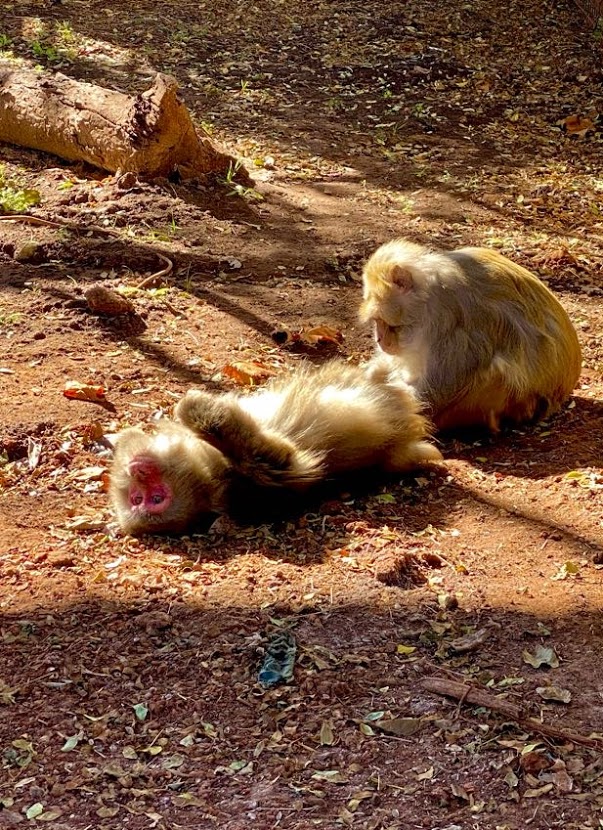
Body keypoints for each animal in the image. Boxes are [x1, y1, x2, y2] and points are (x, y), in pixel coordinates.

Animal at [110, 360, 443, 535]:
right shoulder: (260, 480)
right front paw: (197, 411)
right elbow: (283, 461)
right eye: (148, 498)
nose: (137, 470)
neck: (210, 470)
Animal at [359, 239, 582, 432]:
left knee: (497, 371)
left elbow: (432, 395)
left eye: (390, 325)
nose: (380, 340)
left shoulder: (449, 321)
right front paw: (372, 373)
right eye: (377, 323)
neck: (428, 298)